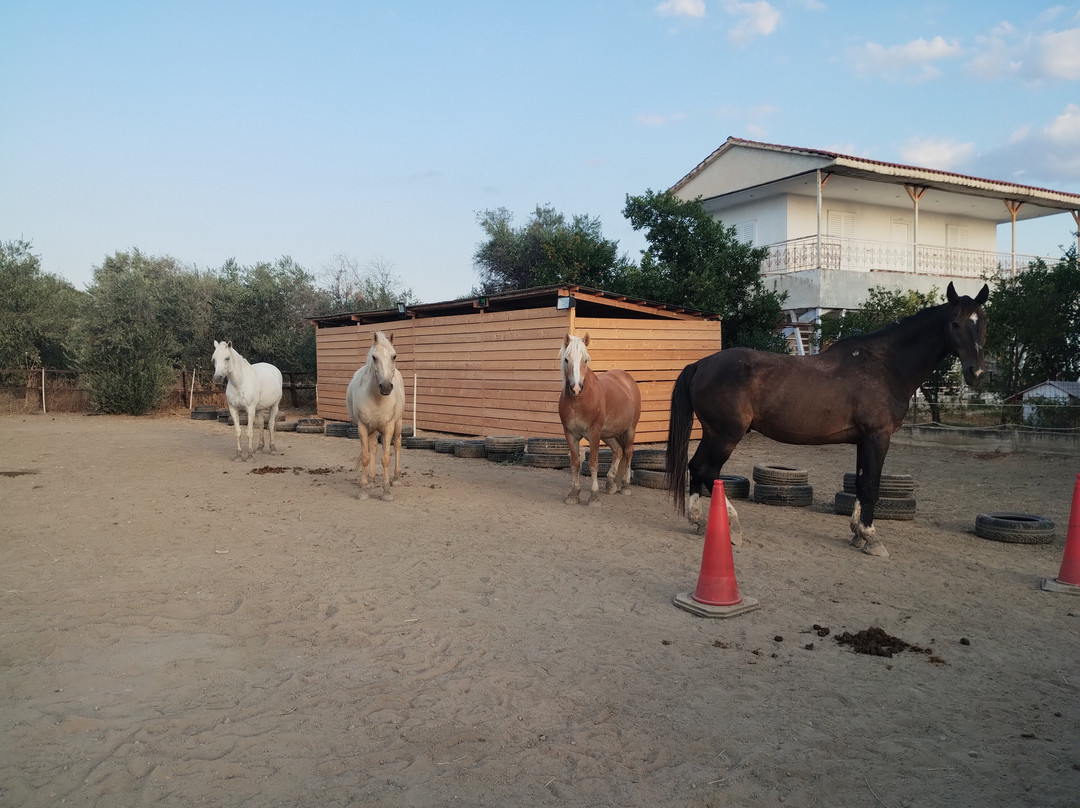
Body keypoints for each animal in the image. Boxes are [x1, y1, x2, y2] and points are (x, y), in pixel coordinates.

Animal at [345, 330, 405, 500]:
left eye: (394, 356)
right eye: (374, 357)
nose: (385, 387)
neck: (376, 398)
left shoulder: (388, 427)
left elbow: (385, 459)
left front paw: (386, 492)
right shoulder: (363, 427)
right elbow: (366, 457)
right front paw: (364, 490)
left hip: (398, 424)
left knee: (397, 444)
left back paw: (395, 479)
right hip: (372, 430)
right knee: (373, 448)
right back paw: (371, 480)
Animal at [559, 333, 643, 506]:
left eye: (585, 359)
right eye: (566, 359)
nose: (576, 388)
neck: (578, 401)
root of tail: (628, 380)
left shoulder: (594, 433)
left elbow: (593, 464)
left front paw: (594, 496)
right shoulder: (570, 433)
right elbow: (575, 463)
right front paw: (574, 494)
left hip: (629, 429)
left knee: (628, 452)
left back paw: (625, 486)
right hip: (609, 434)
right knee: (618, 451)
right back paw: (611, 484)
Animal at [666, 281, 990, 558]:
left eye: (983, 323)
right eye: (955, 323)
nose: (975, 373)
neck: (885, 366)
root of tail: (700, 365)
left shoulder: (864, 440)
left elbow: (860, 483)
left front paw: (857, 533)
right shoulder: (878, 436)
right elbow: (871, 485)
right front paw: (872, 538)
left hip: (713, 433)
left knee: (696, 468)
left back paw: (699, 521)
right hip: (726, 435)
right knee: (708, 471)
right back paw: (732, 526)